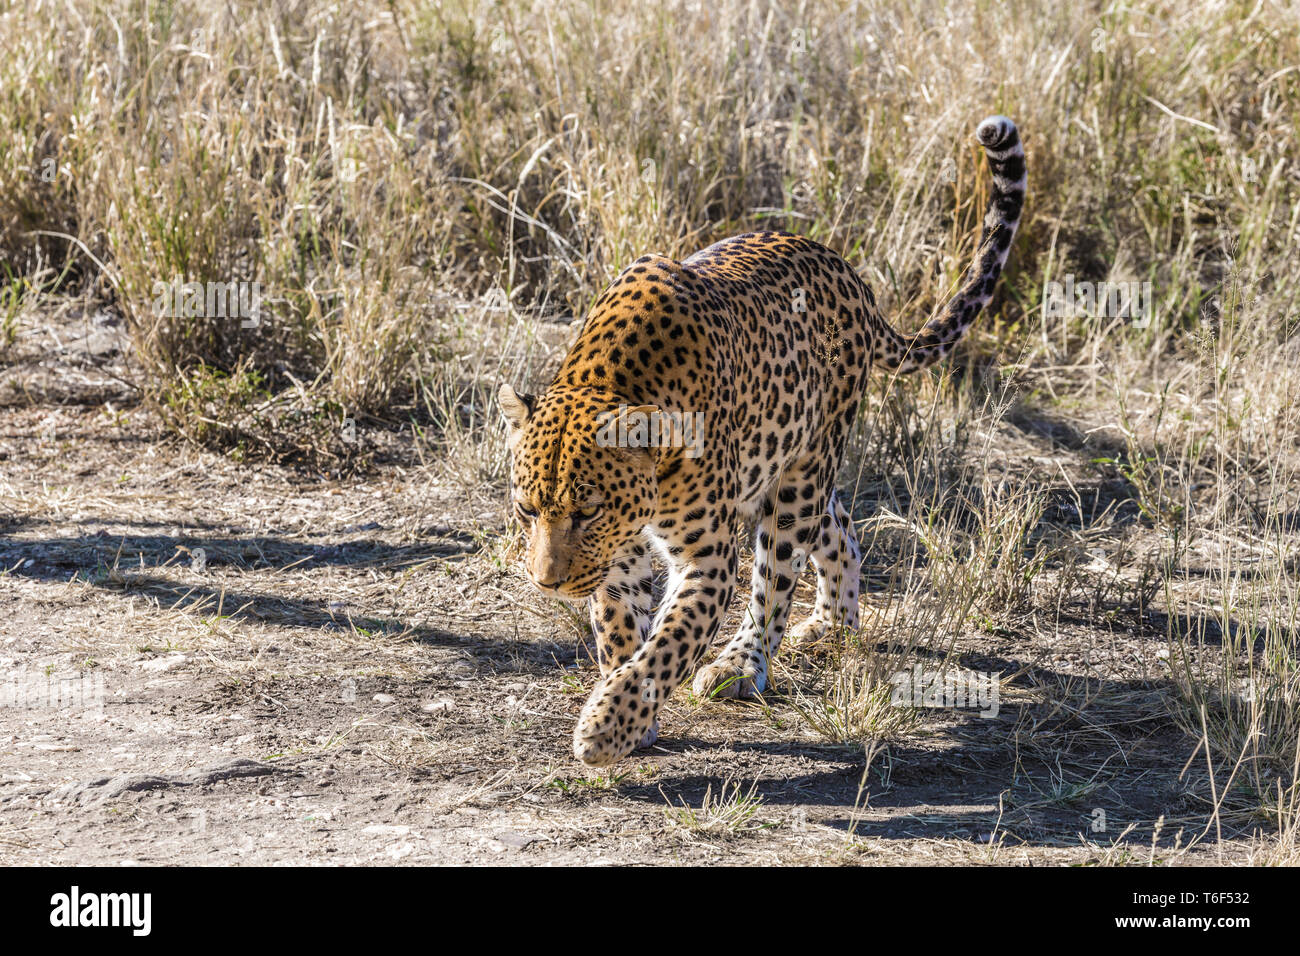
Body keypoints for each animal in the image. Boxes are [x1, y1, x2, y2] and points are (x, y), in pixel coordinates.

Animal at [496, 113, 1024, 770]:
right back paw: (832, 626)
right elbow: (621, 630)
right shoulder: (618, 560)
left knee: (777, 576)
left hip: (802, 475)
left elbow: (670, 644)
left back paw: (743, 664)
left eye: (587, 511)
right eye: (526, 510)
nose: (548, 583)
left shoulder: (706, 557)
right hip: (790, 466)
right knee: (841, 530)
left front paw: (608, 724)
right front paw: (629, 718)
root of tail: (847, 272)